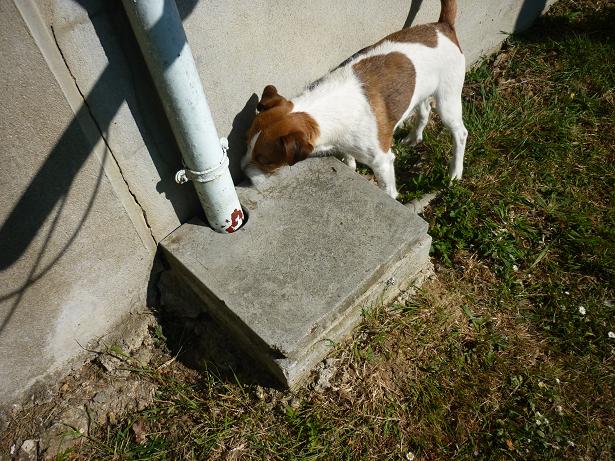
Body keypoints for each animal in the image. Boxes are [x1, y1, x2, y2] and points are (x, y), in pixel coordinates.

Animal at [241, 0, 466, 198]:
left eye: (266, 161)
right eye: (246, 143)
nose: (242, 171)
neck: (326, 108)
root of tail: (442, 26)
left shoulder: (382, 162)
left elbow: (388, 190)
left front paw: (390, 197)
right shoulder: (345, 144)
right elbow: (349, 158)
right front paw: (350, 165)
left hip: (448, 101)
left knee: (460, 133)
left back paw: (455, 173)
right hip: (421, 91)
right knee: (424, 110)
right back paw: (413, 137)